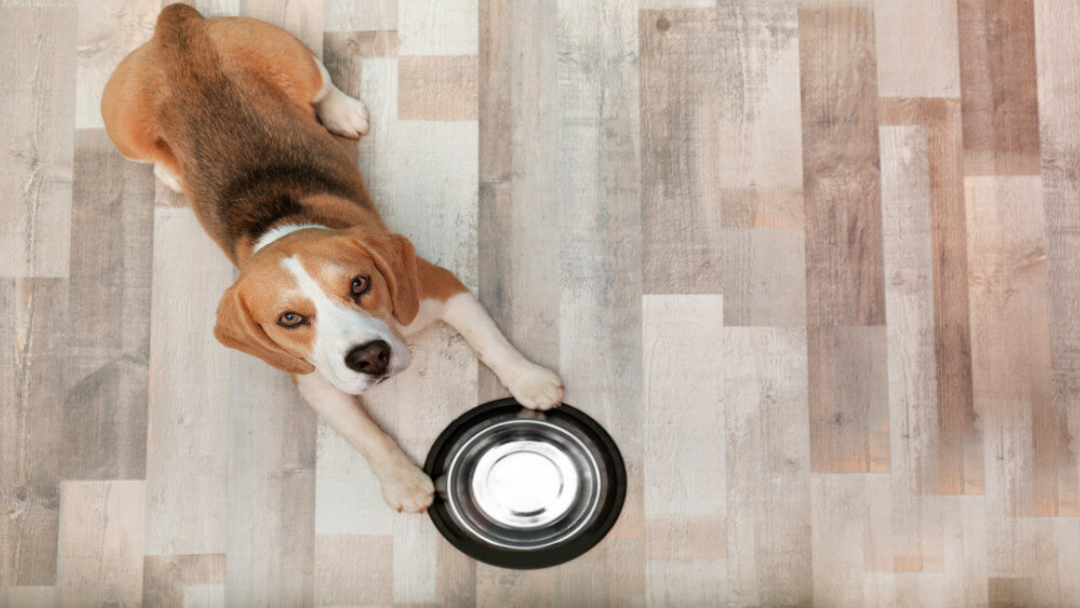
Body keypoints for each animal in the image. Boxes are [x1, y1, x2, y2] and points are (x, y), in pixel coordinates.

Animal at [101, 5, 565, 514]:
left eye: (360, 284)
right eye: (289, 319)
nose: (371, 357)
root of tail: (177, 26)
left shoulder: (443, 289)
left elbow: (491, 342)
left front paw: (530, 380)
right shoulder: (317, 383)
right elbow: (367, 436)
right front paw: (402, 481)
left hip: (294, 59)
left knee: (321, 84)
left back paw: (343, 112)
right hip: (125, 133)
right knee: (153, 156)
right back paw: (171, 172)